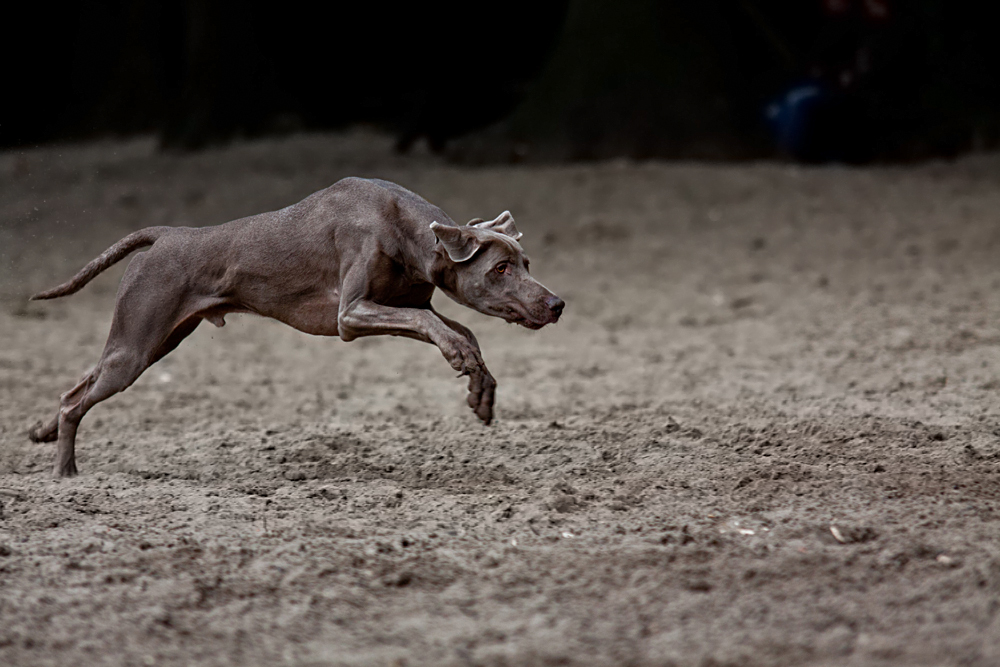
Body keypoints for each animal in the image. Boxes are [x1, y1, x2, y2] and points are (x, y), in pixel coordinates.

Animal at [29, 177, 564, 478]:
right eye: (500, 268)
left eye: (527, 263)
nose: (557, 304)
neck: (405, 229)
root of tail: (165, 235)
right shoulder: (351, 314)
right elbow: (435, 325)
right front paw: (462, 360)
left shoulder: (399, 303)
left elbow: (451, 326)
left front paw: (481, 390)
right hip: (137, 346)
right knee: (76, 401)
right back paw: (66, 471)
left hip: (151, 341)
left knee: (76, 387)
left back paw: (42, 431)